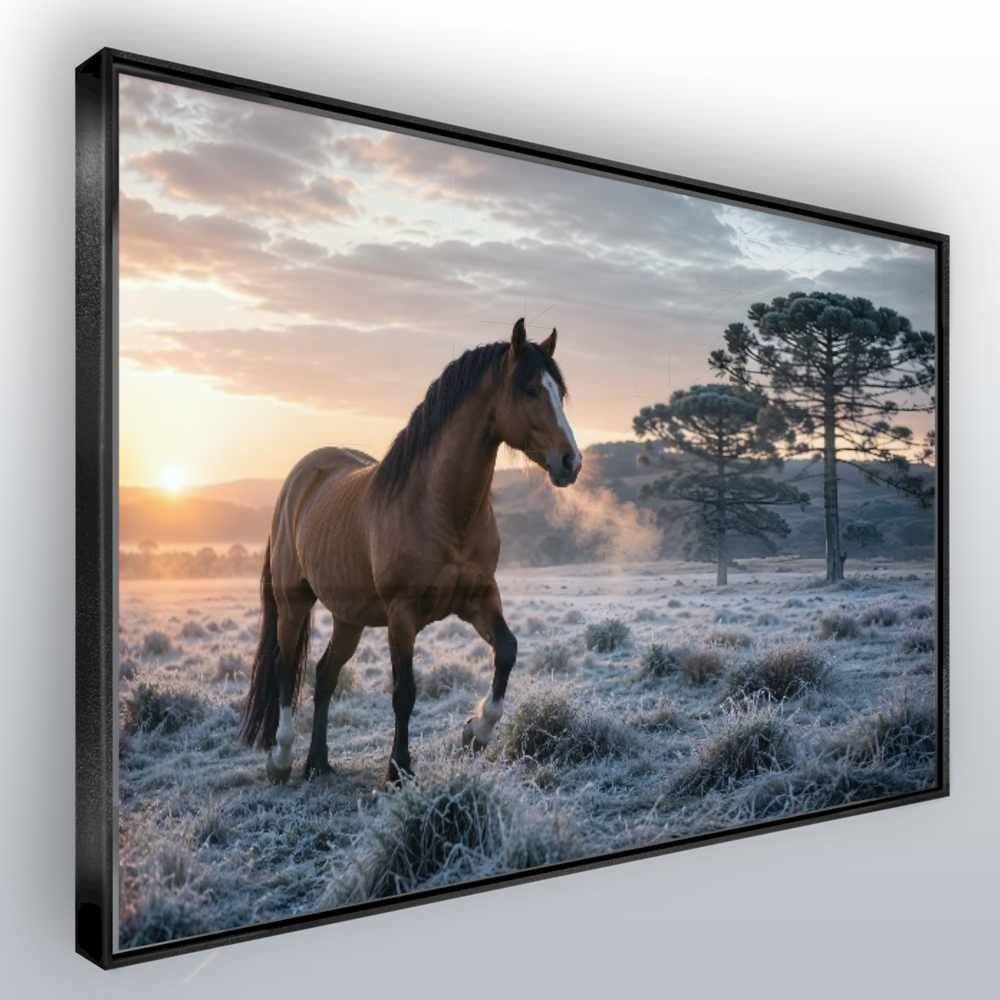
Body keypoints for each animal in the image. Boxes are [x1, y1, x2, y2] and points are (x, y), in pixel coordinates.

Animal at [239, 318, 582, 787]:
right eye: (529, 389)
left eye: (558, 392)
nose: (571, 462)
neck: (441, 508)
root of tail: (300, 478)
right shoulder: (401, 614)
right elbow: (404, 692)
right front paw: (399, 768)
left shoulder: (479, 598)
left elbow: (507, 651)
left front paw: (476, 732)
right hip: (294, 603)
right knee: (286, 669)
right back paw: (282, 758)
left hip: (349, 616)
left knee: (324, 675)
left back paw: (318, 762)